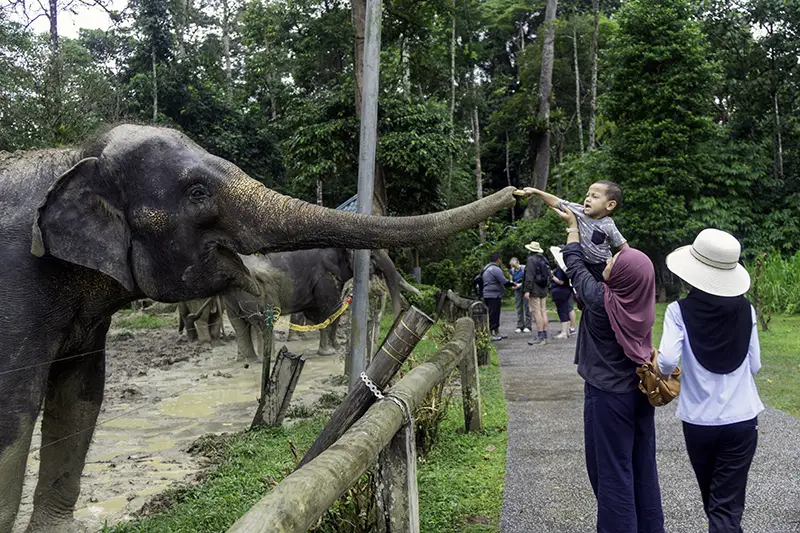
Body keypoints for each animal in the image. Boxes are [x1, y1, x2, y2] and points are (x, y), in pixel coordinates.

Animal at [225, 248, 419, 359]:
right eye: (371, 255)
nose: (399, 314)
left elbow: (326, 311)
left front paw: (336, 347)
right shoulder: (325, 275)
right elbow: (328, 310)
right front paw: (329, 352)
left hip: (232, 298)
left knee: (239, 324)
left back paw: (247, 359)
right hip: (258, 294)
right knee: (260, 324)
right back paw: (267, 359)